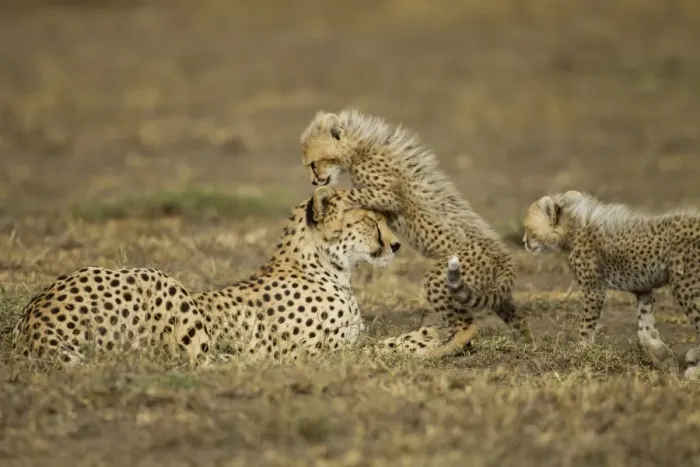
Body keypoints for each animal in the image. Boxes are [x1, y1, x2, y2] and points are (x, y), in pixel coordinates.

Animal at [11, 186, 473, 365]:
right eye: (368, 220)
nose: (395, 246)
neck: (324, 266)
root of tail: (34, 320)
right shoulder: (312, 353)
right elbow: (377, 347)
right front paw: (432, 335)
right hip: (159, 280)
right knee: (199, 361)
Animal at [299, 108, 533, 351]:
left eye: (313, 164)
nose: (314, 181)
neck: (360, 150)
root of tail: (502, 254)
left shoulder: (386, 194)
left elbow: (348, 193)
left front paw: (330, 205)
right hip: (489, 291)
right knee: (514, 314)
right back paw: (527, 342)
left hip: (443, 279)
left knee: (466, 325)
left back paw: (442, 347)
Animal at [523, 189, 700, 380]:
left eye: (529, 228)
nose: (524, 241)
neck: (573, 228)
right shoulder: (642, 287)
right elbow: (645, 326)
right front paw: (662, 356)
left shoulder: (594, 290)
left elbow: (586, 326)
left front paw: (581, 352)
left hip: (686, 285)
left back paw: (695, 371)